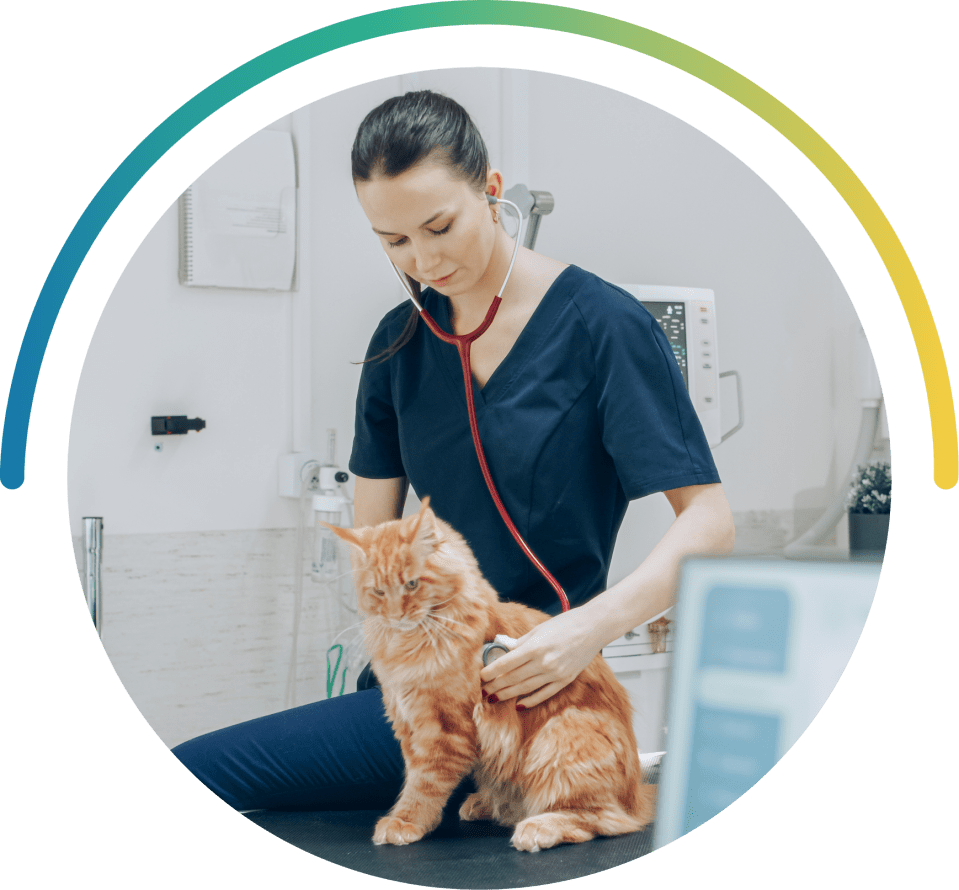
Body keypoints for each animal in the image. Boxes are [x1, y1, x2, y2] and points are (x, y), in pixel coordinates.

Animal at [326, 496, 656, 848]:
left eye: (411, 584)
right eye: (378, 591)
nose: (395, 615)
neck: (412, 643)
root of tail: (637, 795)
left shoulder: (444, 730)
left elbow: (424, 784)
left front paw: (406, 821)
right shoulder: (408, 724)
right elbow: (413, 777)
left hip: (564, 735)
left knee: (603, 819)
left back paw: (538, 827)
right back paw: (487, 804)